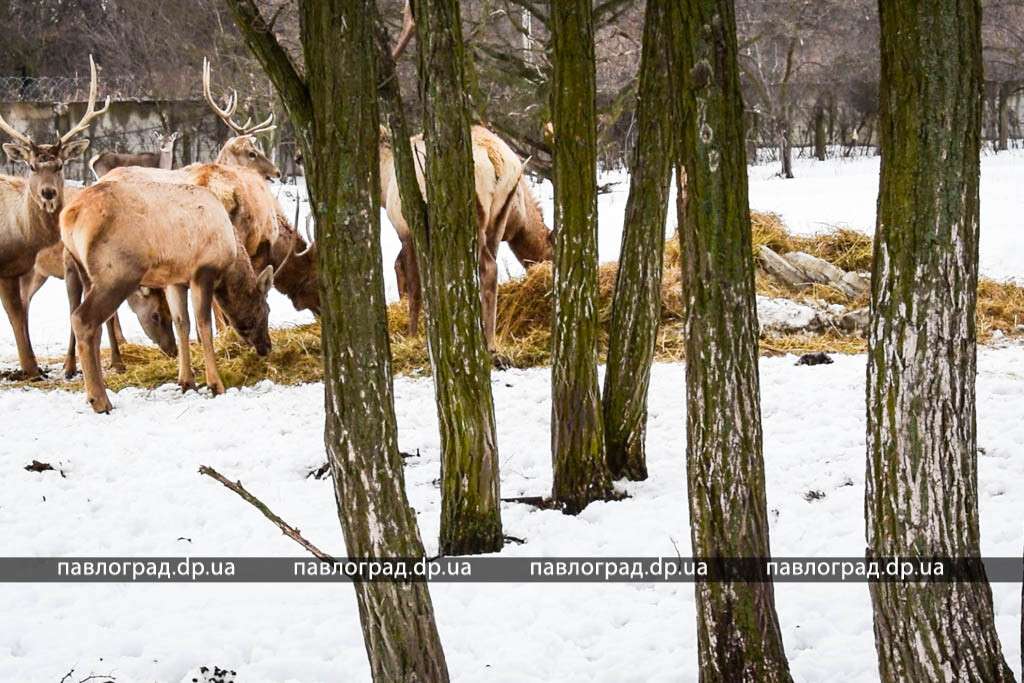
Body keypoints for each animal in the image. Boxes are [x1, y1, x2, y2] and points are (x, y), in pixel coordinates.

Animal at [0, 56, 109, 378]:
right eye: (32, 166)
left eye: (60, 165)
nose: (48, 193)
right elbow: (14, 313)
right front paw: (32, 368)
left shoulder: (20, 268)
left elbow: (19, 312)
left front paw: (35, 366)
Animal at [59, 180, 274, 411]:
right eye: (267, 309)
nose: (267, 346)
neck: (230, 264)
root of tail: (69, 217)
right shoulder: (203, 273)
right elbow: (204, 325)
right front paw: (216, 384)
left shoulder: (175, 281)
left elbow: (182, 323)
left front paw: (187, 381)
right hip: (116, 274)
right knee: (82, 319)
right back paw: (100, 400)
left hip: (86, 273)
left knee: (93, 327)